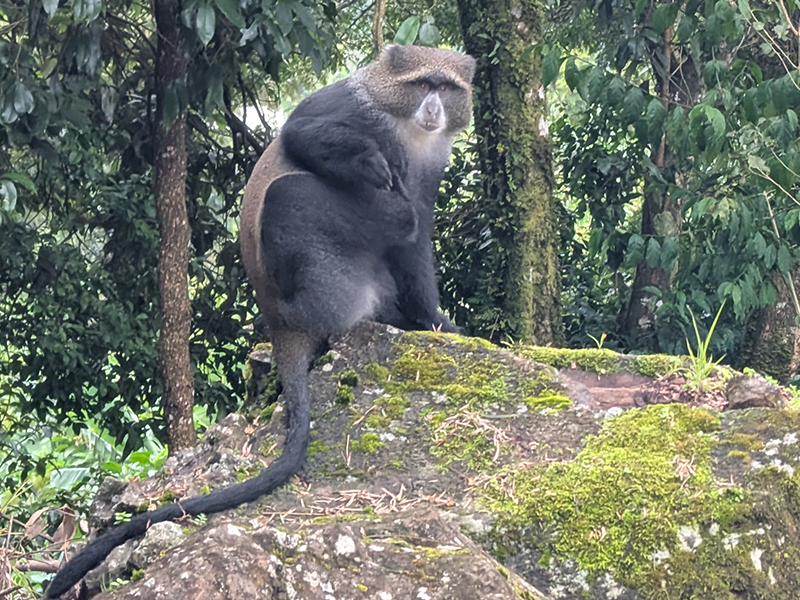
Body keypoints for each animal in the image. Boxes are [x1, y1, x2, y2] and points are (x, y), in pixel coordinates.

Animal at [45, 44, 474, 599]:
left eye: (446, 88)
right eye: (422, 84)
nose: (433, 108)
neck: (408, 132)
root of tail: (282, 325)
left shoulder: (430, 167)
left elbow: (420, 240)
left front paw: (434, 321)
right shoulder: (355, 103)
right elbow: (301, 132)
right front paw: (371, 161)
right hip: (325, 282)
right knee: (307, 196)